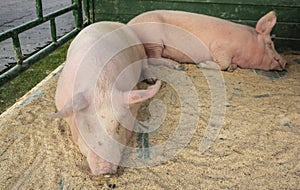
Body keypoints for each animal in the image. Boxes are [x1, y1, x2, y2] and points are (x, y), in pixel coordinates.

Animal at [50, 21, 161, 175]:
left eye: (118, 127)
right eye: (88, 127)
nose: (105, 170)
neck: (100, 89)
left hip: (140, 48)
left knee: (145, 64)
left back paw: (152, 80)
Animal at [127, 9, 288, 71]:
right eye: (270, 44)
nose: (285, 62)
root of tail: (129, 24)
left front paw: (233, 67)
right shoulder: (220, 46)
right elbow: (223, 63)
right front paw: (201, 65)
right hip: (153, 41)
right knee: (153, 58)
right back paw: (178, 66)